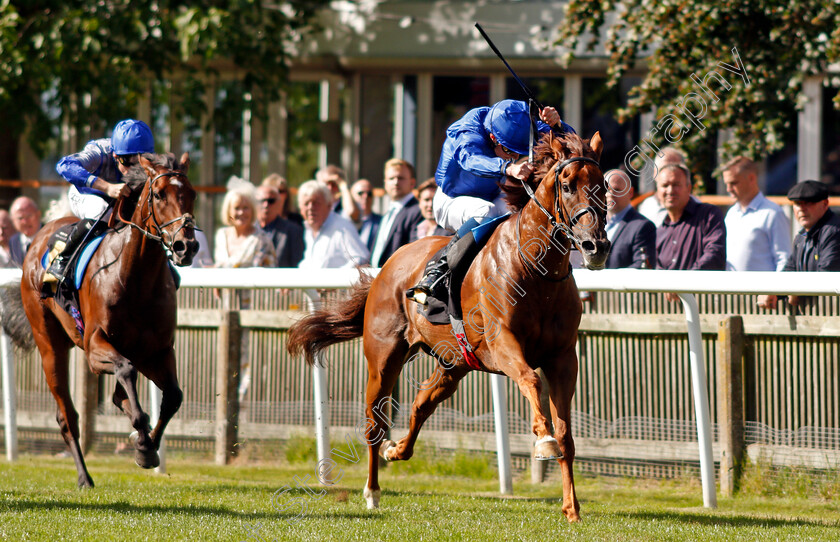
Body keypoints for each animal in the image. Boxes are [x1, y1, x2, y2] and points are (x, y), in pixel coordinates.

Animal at [20, 153, 199, 488]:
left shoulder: (158, 350)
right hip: (49, 344)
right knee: (67, 416)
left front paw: (147, 447)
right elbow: (127, 373)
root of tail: (37, 239)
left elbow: (173, 397)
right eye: (159, 195)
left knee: (118, 396)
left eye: (192, 194)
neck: (136, 278)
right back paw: (84, 477)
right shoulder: (94, 348)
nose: (187, 246)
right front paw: (142, 441)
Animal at [286, 131, 608, 524]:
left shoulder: (562, 357)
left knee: (421, 403)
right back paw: (373, 491)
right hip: (383, 358)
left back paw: (397, 450)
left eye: (603, 185)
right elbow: (531, 380)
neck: (536, 269)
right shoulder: (503, 343)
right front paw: (542, 440)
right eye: (567, 185)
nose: (596, 246)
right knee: (374, 423)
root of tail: (389, 263)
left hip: (454, 362)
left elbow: (565, 433)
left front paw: (572, 508)